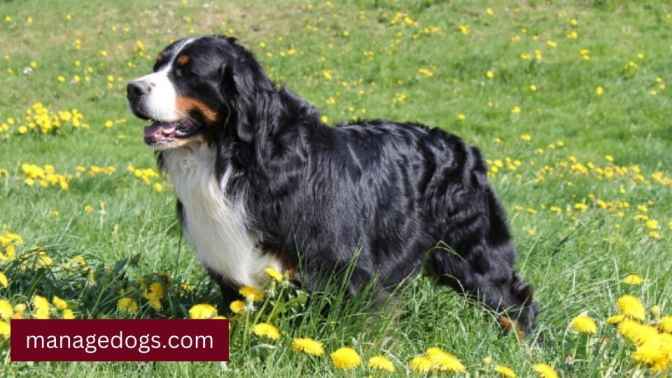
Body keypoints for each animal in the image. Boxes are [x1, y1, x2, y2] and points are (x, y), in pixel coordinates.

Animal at [126, 36, 540, 334]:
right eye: (157, 66)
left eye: (187, 72)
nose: (132, 88)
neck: (233, 162)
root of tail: (464, 146)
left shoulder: (344, 269)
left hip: (473, 254)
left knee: (517, 303)